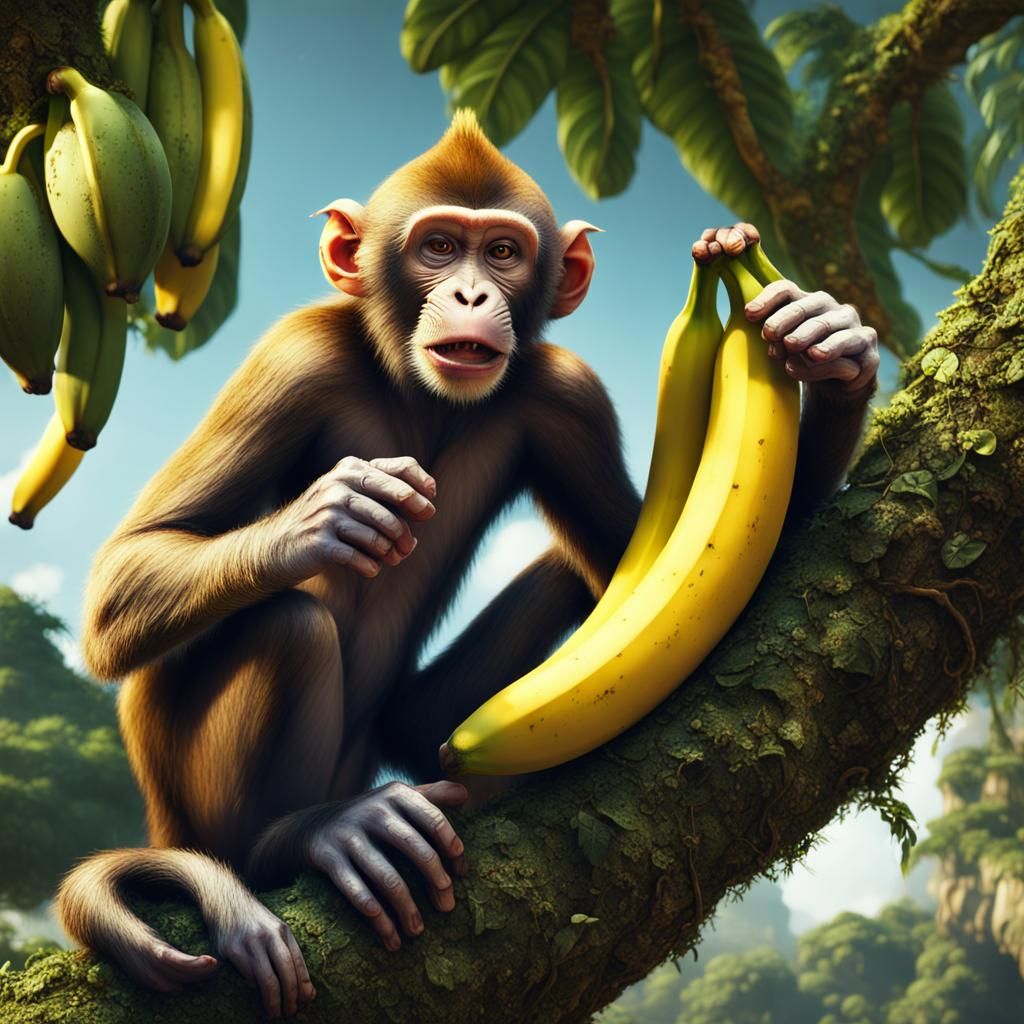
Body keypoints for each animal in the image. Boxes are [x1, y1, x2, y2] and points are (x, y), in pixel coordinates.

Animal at [55, 111, 880, 1018]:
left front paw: (827, 347)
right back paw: (296, 837)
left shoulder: (568, 396)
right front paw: (329, 513)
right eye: (441, 247)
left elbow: (631, 553)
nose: (474, 296)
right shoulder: (292, 358)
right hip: (191, 796)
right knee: (287, 625)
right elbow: (127, 571)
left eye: (505, 253)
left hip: (413, 736)